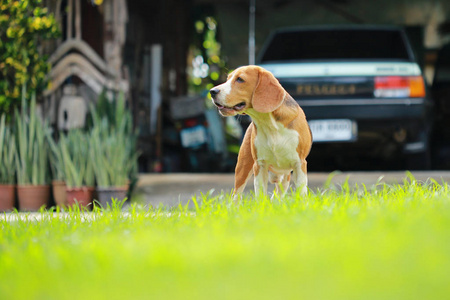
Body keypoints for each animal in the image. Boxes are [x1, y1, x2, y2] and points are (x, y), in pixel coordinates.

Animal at [209, 65, 312, 197]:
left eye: (240, 79)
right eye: (227, 79)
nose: (212, 91)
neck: (269, 124)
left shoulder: (299, 164)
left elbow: (302, 193)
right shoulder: (260, 165)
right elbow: (261, 195)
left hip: (285, 177)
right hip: (242, 168)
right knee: (236, 195)